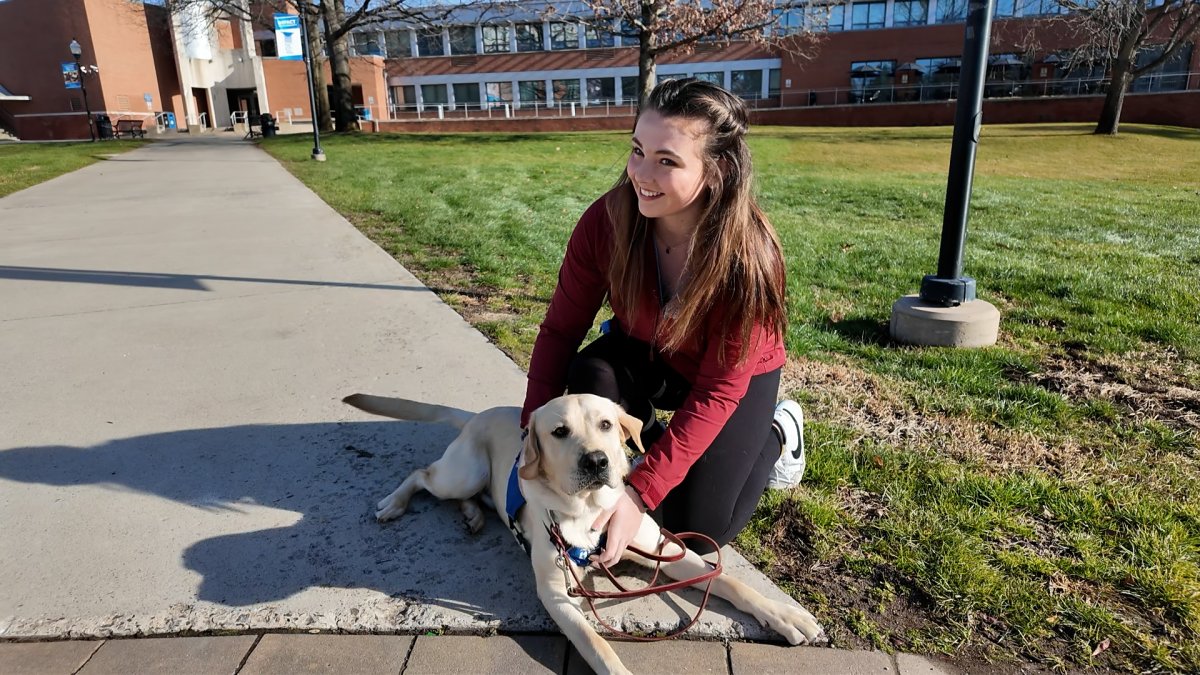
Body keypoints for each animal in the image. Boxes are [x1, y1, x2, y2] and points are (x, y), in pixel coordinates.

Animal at [343, 389, 820, 672]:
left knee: (465, 494)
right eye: (559, 431)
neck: (591, 514)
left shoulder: (667, 550)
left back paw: (475, 515)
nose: (596, 461)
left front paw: (785, 615)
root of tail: (482, 413)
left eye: (607, 425)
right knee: (423, 474)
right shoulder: (559, 594)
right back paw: (395, 503)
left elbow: (730, 582)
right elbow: (597, 645)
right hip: (463, 472)